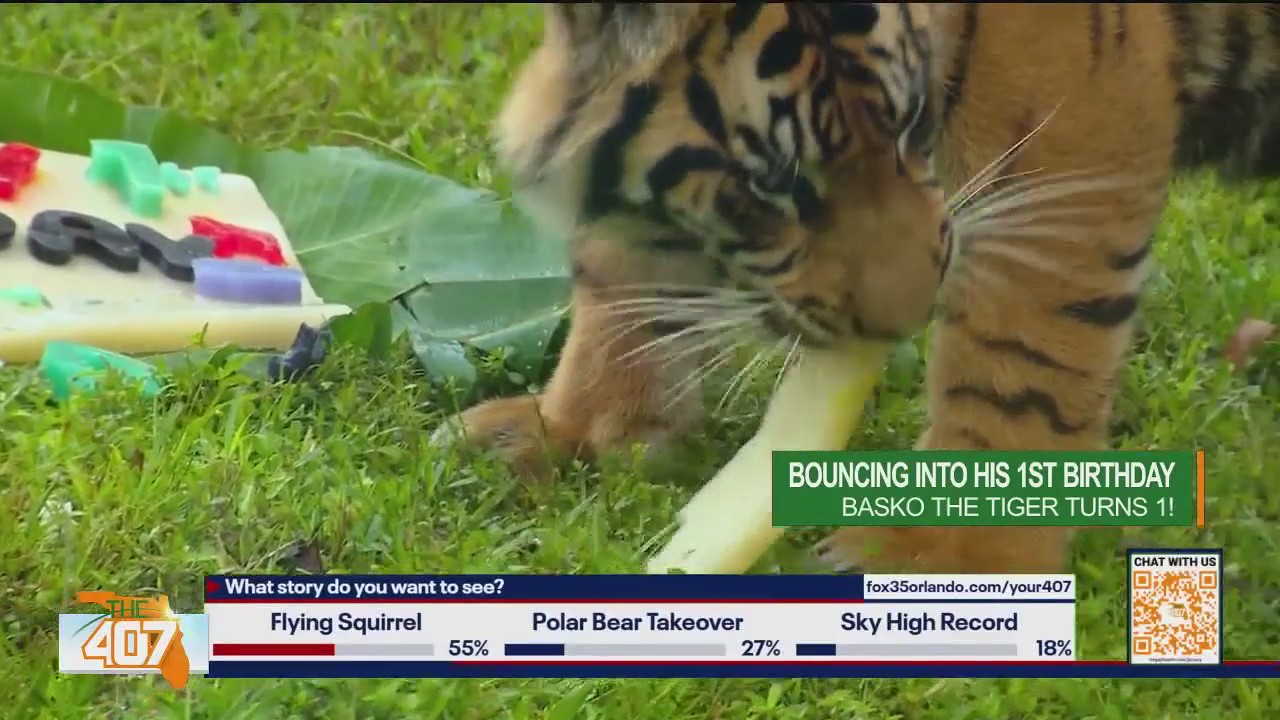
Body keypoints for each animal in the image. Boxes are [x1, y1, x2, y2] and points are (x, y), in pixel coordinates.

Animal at [433, 3, 1280, 574]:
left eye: (911, 124)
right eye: (775, 186)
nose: (908, 319)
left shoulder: (1079, 107)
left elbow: (1021, 344)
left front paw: (952, 553)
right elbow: (622, 270)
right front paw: (568, 431)